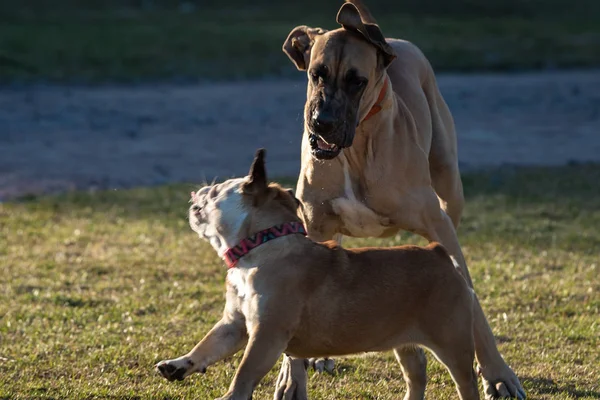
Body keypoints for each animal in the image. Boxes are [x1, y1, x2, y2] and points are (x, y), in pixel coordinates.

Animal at [155, 150, 478, 400]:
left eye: (215, 191)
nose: (198, 191)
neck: (262, 244)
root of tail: (438, 253)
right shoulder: (234, 325)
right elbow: (207, 345)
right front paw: (179, 363)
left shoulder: (266, 334)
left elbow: (245, 371)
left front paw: (232, 396)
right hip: (403, 340)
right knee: (416, 373)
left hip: (453, 342)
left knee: (466, 381)